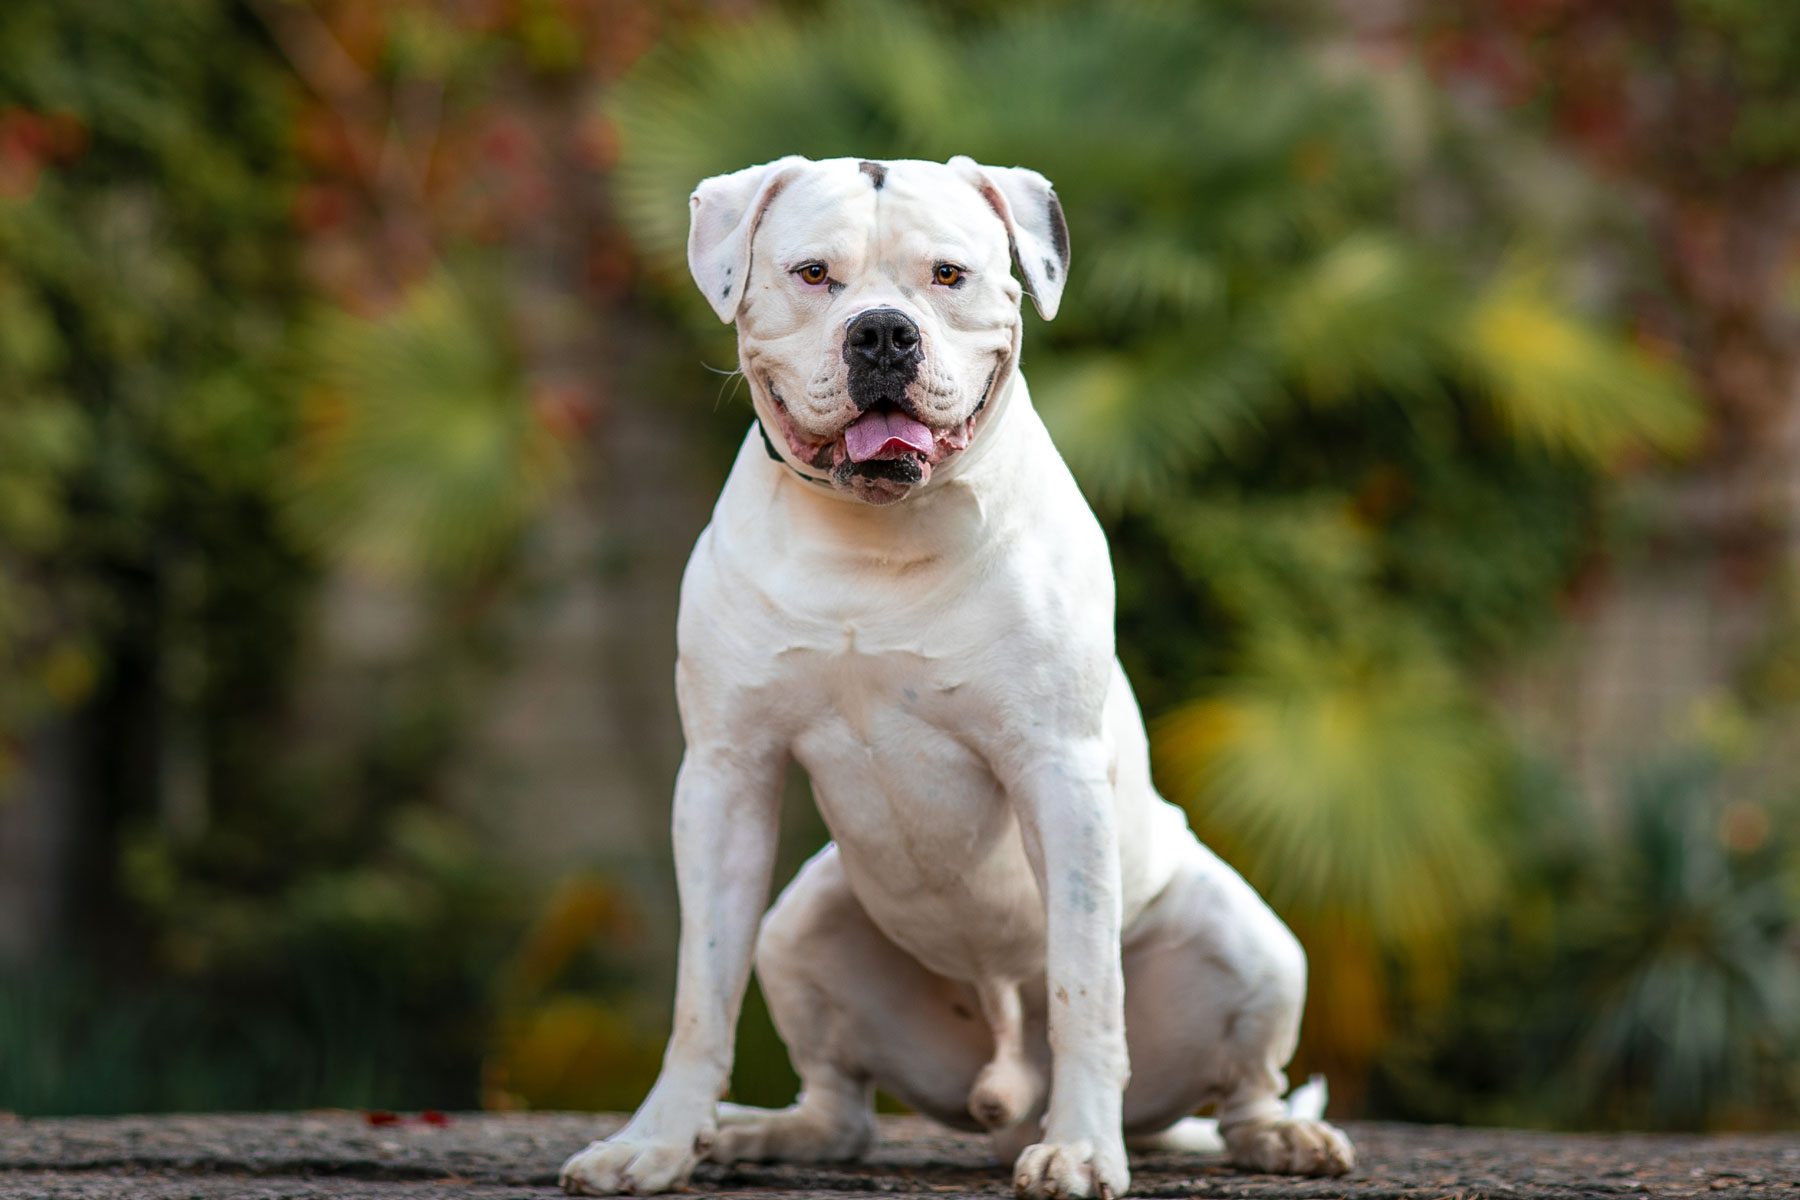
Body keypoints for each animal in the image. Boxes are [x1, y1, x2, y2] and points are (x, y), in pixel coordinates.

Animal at [561, 159, 1353, 1200]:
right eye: (813, 274)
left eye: (948, 275)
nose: (882, 332)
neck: (875, 535)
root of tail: (1004, 1097)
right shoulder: (726, 775)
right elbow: (701, 990)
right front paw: (655, 1141)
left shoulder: (1058, 773)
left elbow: (1085, 986)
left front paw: (1083, 1150)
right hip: (801, 923)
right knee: (842, 1107)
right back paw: (758, 1134)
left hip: (1250, 941)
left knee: (1245, 1084)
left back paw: (1274, 1138)